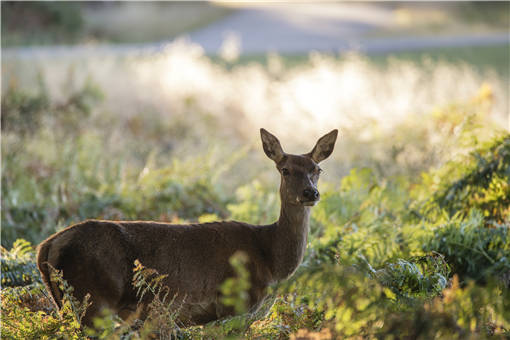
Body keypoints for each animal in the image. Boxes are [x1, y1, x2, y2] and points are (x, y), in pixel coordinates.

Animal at [36, 127, 338, 326]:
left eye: (317, 170)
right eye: (285, 170)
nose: (310, 193)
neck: (270, 260)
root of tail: (46, 247)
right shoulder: (233, 306)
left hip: (68, 302)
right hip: (94, 299)